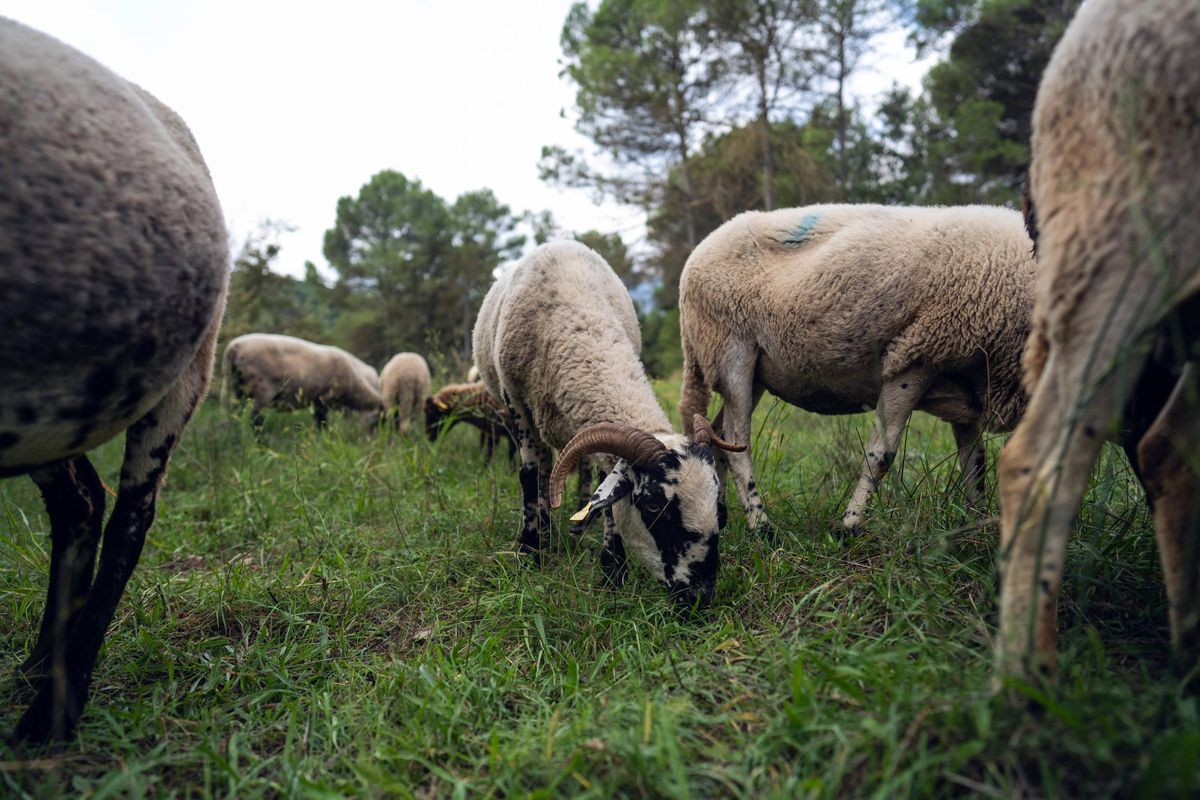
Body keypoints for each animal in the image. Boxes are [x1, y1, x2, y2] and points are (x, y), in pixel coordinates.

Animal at [0, 18, 229, 742]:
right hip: (58, 410)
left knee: (130, 518)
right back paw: (40, 666)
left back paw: (54, 708)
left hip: (183, 377)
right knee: (80, 505)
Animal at [221, 333, 383, 429]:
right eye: (377, 420)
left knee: (235, 413)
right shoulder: (324, 398)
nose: (371, 441)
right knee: (255, 420)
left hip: (237, 389)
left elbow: (320, 422)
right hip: (262, 389)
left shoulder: (317, 401)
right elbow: (323, 422)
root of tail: (233, 348)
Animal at [473, 241, 745, 607]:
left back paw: (577, 522)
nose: (700, 595)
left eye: (719, 505)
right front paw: (530, 551)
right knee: (543, 467)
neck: (577, 319)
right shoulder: (516, 403)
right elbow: (529, 477)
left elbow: (606, 491)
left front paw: (612, 571)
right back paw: (545, 530)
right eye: (653, 505)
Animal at [678, 204, 1037, 536]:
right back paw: (761, 526)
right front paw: (849, 525)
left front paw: (976, 525)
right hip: (731, 352)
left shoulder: (967, 390)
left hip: (754, 373)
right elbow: (882, 456)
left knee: (715, 437)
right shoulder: (912, 361)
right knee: (737, 444)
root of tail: (698, 253)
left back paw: (719, 517)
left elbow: (975, 465)